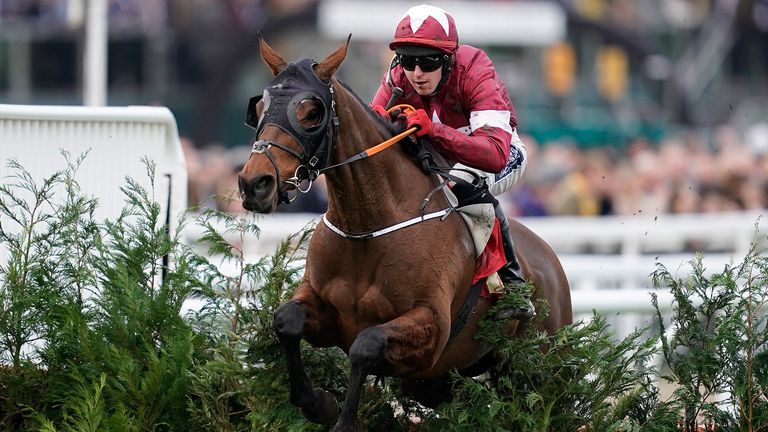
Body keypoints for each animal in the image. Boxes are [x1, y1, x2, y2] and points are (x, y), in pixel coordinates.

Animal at [237, 37, 572, 432]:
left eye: (312, 112)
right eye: (259, 108)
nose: (254, 183)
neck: (366, 228)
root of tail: (551, 260)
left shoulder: (431, 329)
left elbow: (364, 346)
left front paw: (341, 418)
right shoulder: (324, 313)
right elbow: (287, 320)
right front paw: (319, 403)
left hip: (537, 368)